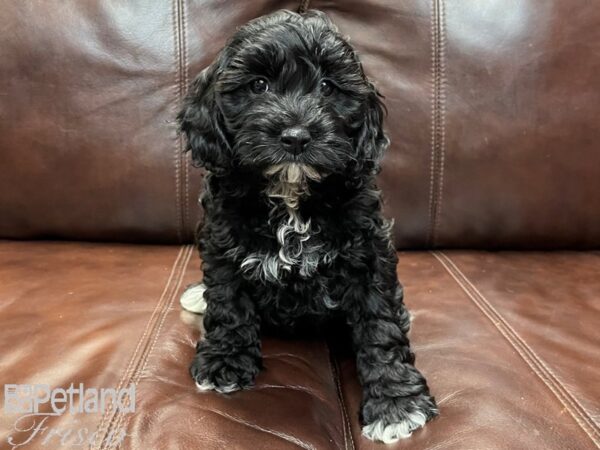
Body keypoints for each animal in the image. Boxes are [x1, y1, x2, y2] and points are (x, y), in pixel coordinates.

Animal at [177, 8, 436, 442]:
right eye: (258, 85)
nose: (296, 136)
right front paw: (225, 360)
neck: (292, 193)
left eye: (328, 87)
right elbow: (230, 303)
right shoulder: (222, 242)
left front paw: (396, 404)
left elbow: (380, 324)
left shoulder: (368, 253)